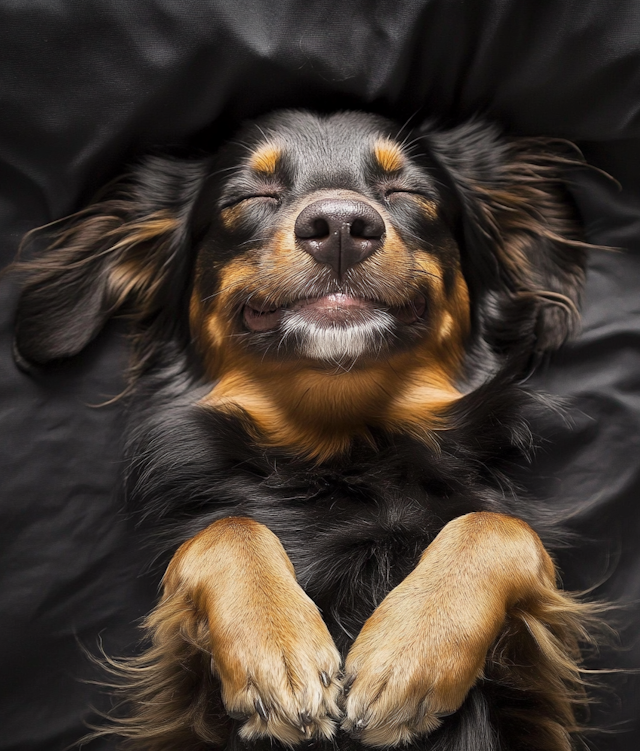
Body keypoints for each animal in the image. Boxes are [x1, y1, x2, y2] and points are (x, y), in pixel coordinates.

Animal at [11, 111, 600, 751]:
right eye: (251, 197)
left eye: (408, 191)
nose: (340, 225)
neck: (341, 449)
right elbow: (225, 529)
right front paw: (276, 653)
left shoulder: (528, 685)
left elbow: (499, 525)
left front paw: (406, 656)